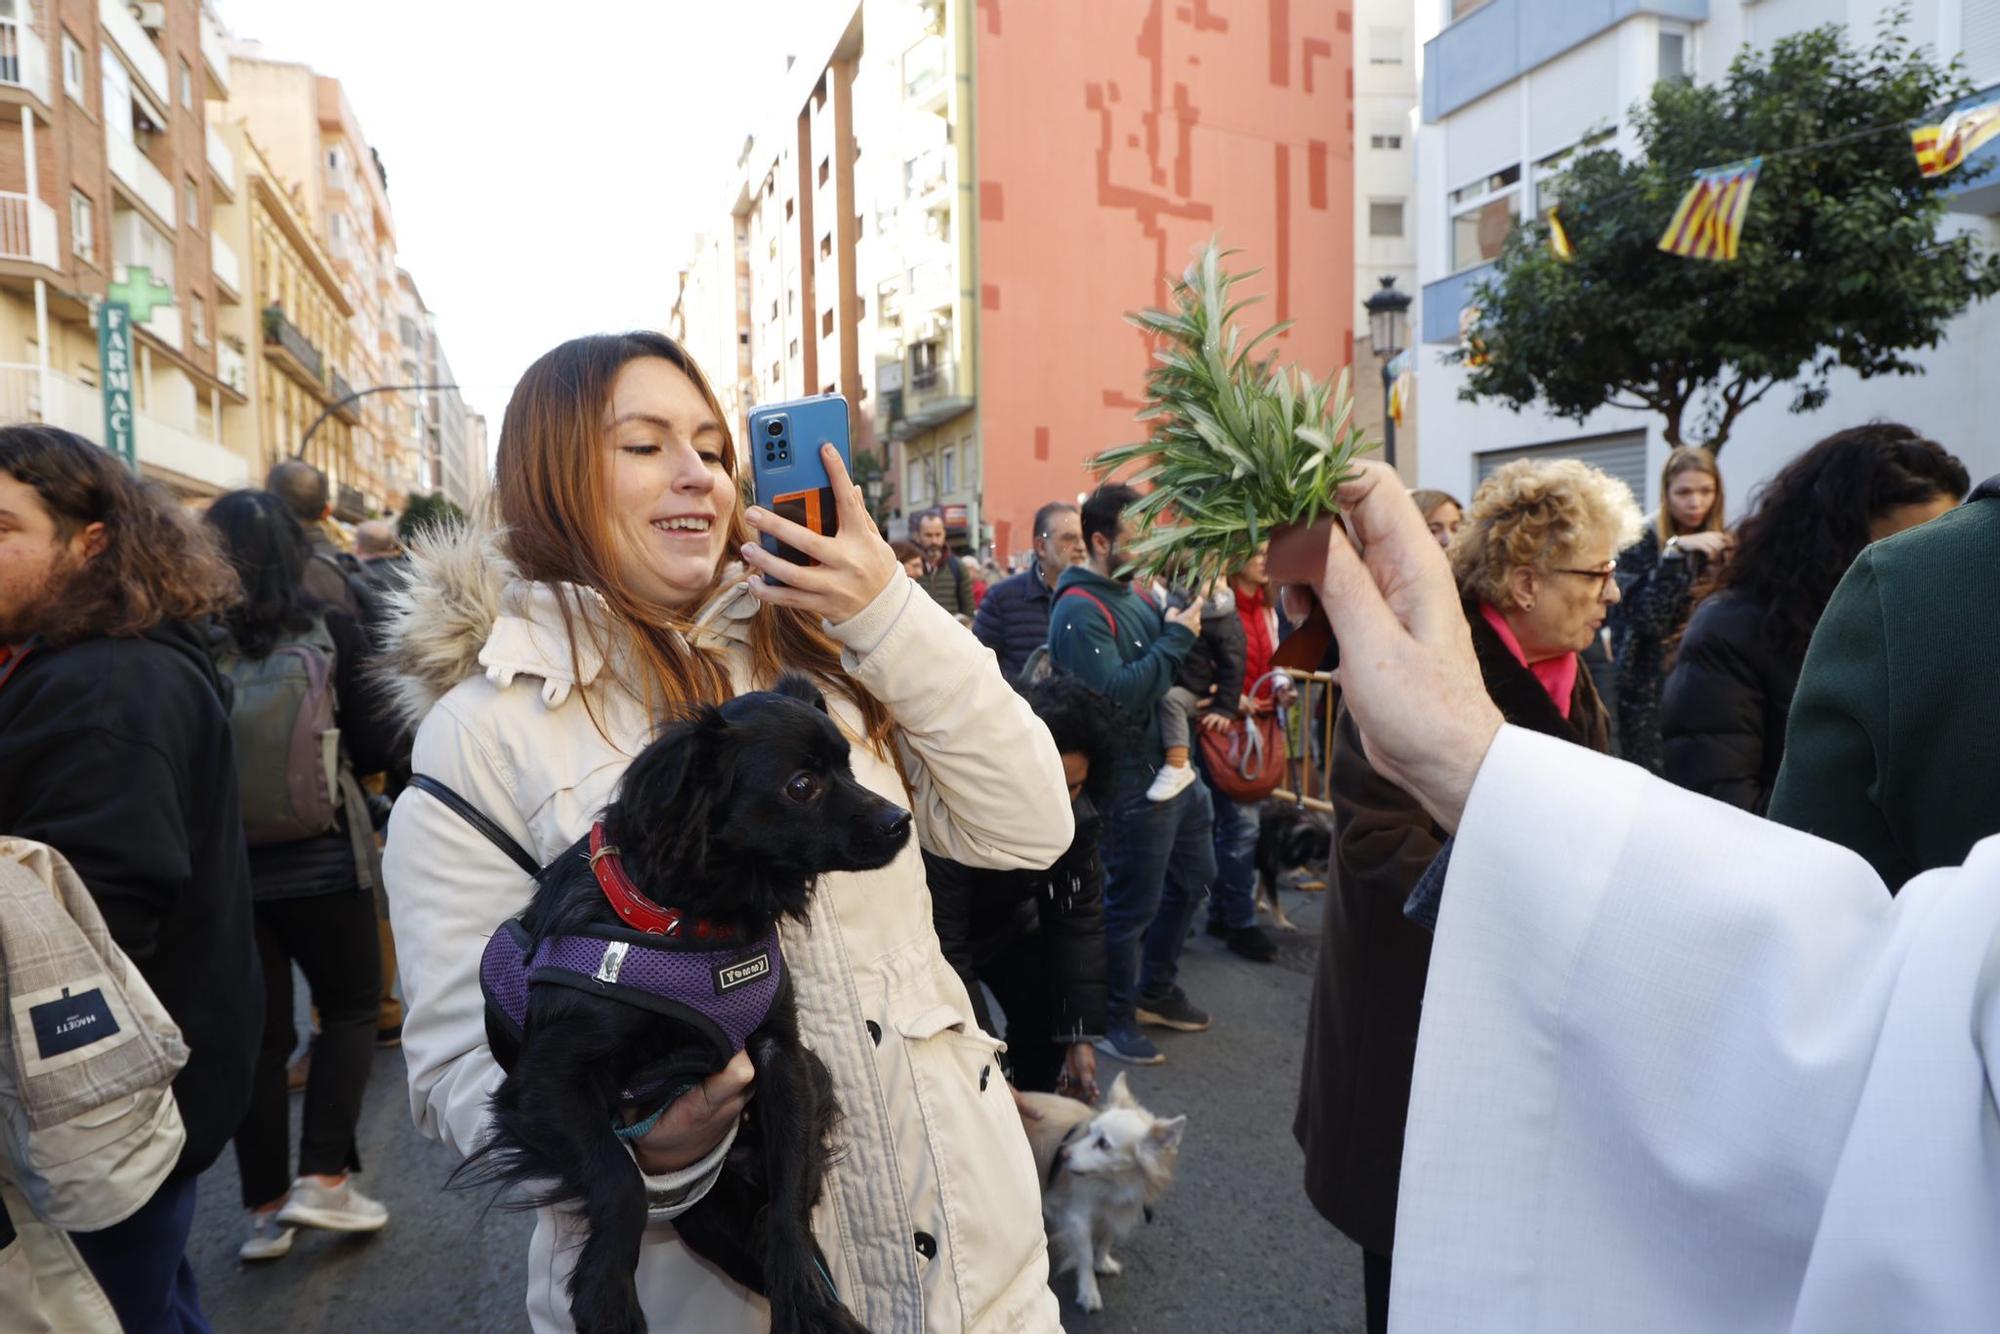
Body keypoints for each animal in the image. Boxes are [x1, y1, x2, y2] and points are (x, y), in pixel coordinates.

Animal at [460, 680, 908, 1334]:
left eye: (849, 767)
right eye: (802, 785)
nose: (901, 820)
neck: (695, 926)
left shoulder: (784, 1058)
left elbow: (788, 1201)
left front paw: (808, 1300)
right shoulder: (545, 1083)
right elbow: (619, 1176)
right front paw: (606, 1295)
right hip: (703, 1218)